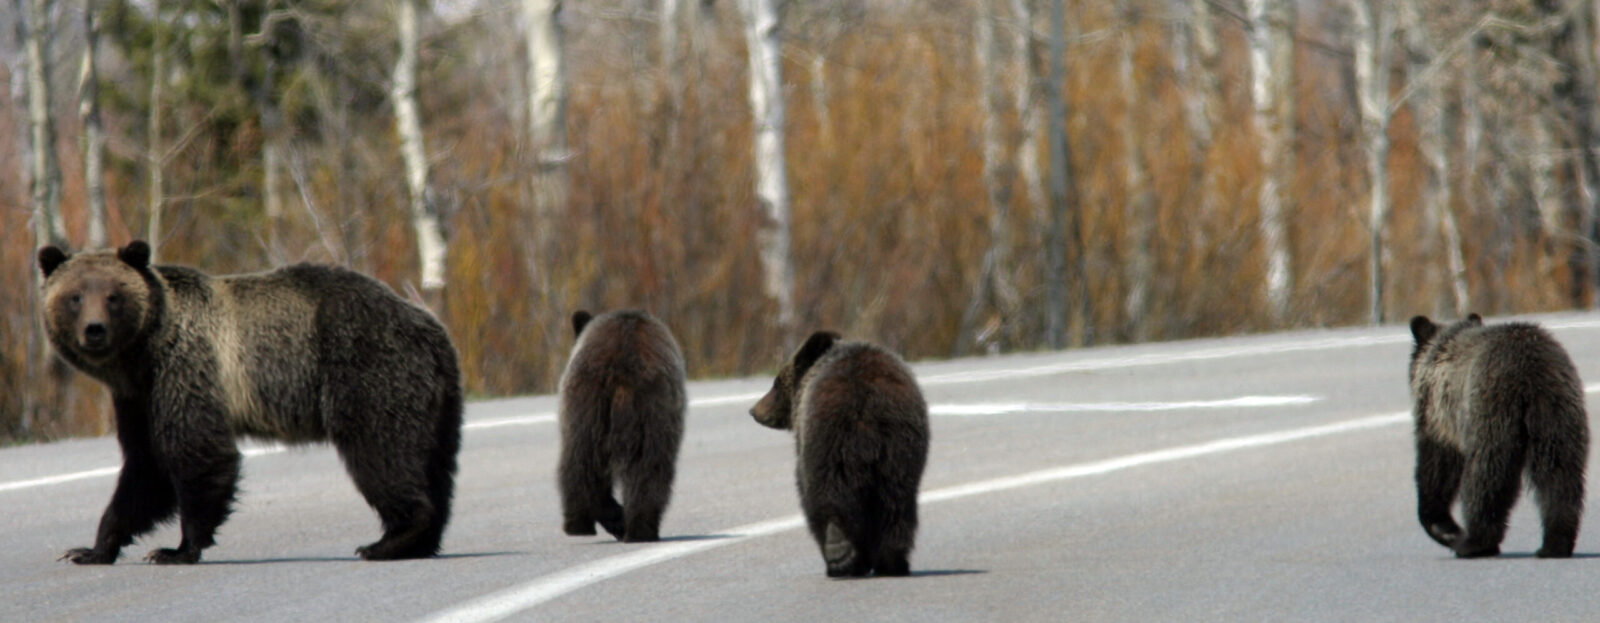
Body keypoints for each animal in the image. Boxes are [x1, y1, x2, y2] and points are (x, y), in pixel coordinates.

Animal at [37, 240, 464, 560]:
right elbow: (145, 467)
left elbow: (197, 453)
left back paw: (387, 541)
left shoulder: (185, 369)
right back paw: (422, 540)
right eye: (75, 297)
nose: (94, 330)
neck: (142, 353)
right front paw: (90, 549)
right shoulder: (137, 398)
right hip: (437, 400)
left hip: (369, 371)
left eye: (113, 296)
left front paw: (177, 549)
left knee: (381, 452)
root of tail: (431, 328)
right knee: (436, 463)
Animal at [556, 309, 681, 538]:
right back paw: (637, 528)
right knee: (648, 466)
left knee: (580, 463)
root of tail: (622, 369)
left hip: (588, 405)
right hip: (649, 411)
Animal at [748, 329, 928, 576]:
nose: (754, 410)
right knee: (896, 501)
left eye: (775, 383)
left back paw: (839, 553)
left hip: (829, 441)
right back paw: (892, 561)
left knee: (826, 493)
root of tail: (865, 402)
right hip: (899, 448)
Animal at [1414, 313, 1587, 557]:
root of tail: (1529, 371)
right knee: (1560, 474)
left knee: (1486, 476)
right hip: (1556, 413)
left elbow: (1438, 466)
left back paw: (1474, 542)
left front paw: (1445, 528)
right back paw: (1555, 543)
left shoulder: (1439, 413)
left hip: (1491, 410)